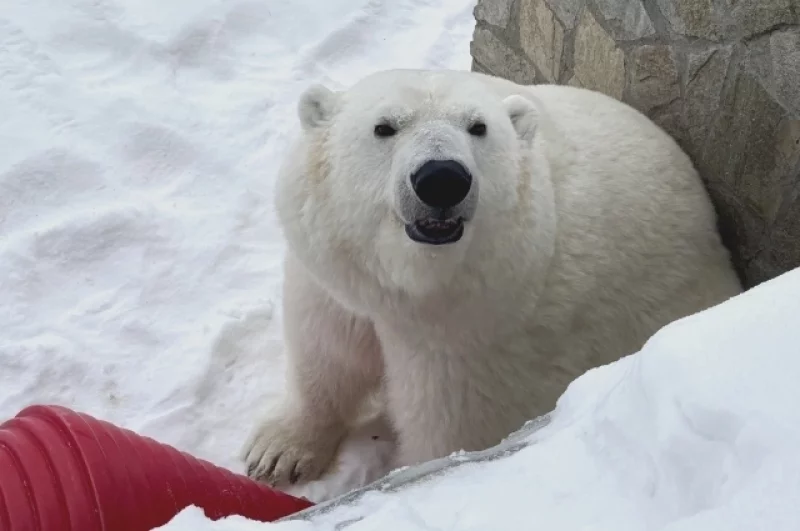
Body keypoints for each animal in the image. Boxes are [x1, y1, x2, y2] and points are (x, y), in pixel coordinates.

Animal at [241, 68, 740, 488]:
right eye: (384, 127)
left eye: (478, 127)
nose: (442, 178)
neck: (415, 287)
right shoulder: (334, 282)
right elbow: (327, 353)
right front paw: (278, 452)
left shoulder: (476, 350)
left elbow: (447, 438)